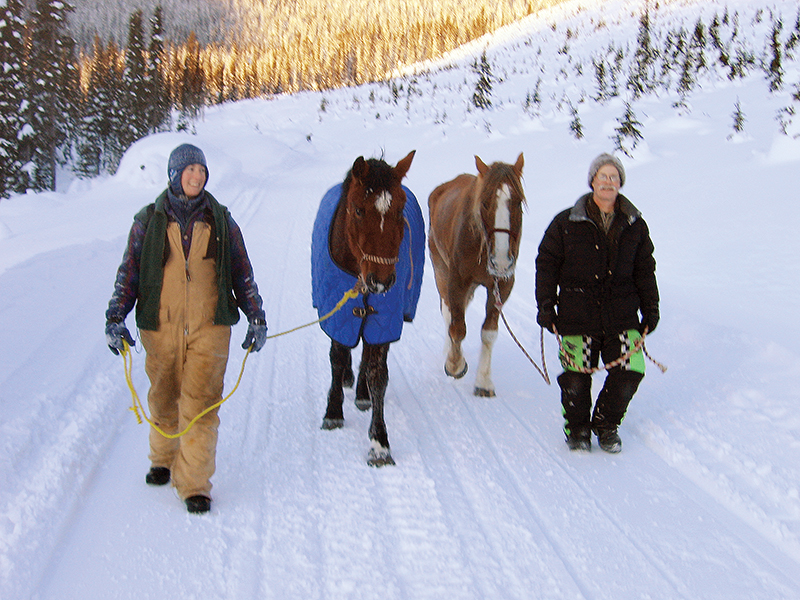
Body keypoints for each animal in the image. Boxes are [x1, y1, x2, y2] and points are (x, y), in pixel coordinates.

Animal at [311, 151, 424, 466]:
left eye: (400, 210)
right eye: (359, 210)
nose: (381, 280)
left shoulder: (383, 319)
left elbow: (377, 373)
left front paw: (379, 443)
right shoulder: (337, 312)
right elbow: (337, 357)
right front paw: (333, 412)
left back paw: (361, 392)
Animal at [427, 153, 525, 397]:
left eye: (517, 202)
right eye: (485, 203)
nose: (501, 260)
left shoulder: (502, 285)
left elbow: (489, 333)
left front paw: (483, 382)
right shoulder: (457, 281)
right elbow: (457, 327)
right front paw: (455, 364)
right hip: (440, 270)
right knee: (449, 314)